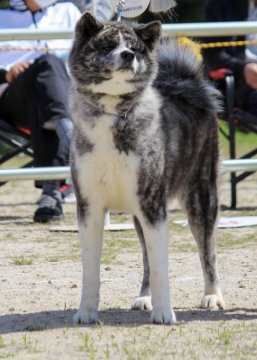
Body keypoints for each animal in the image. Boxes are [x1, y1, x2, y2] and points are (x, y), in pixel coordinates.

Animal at [68, 12, 224, 324]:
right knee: (147, 261)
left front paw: (164, 314)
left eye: (134, 49)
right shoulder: (89, 208)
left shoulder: (153, 207)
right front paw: (86, 312)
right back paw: (144, 297)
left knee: (207, 251)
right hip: (139, 217)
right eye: (107, 46)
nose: (127, 55)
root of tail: (187, 84)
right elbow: (91, 269)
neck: (113, 113)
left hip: (201, 200)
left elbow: (162, 266)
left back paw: (212, 295)